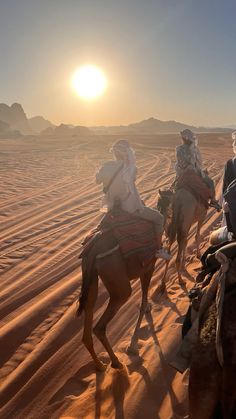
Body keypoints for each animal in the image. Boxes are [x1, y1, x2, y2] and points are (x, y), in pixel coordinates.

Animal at [76, 231, 157, 372]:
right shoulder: (148, 266)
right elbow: (143, 299)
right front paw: (132, 346)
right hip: (119, 282)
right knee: (99, 327)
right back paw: (116, 362)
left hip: (90, 276)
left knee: (89, 309)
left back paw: (100, 365)